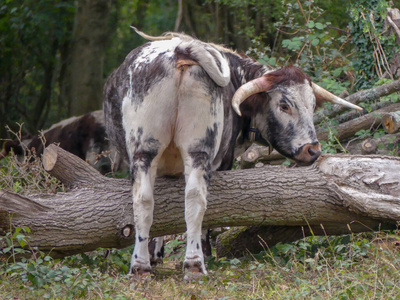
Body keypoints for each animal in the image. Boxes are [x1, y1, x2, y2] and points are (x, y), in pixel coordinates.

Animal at [101, 29, 360, 280]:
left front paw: (157, 253)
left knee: (164, 200)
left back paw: (170, 264)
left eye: (313, 105)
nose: (313, 150)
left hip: (165, 151)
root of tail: (180, 50)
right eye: (284, 105)